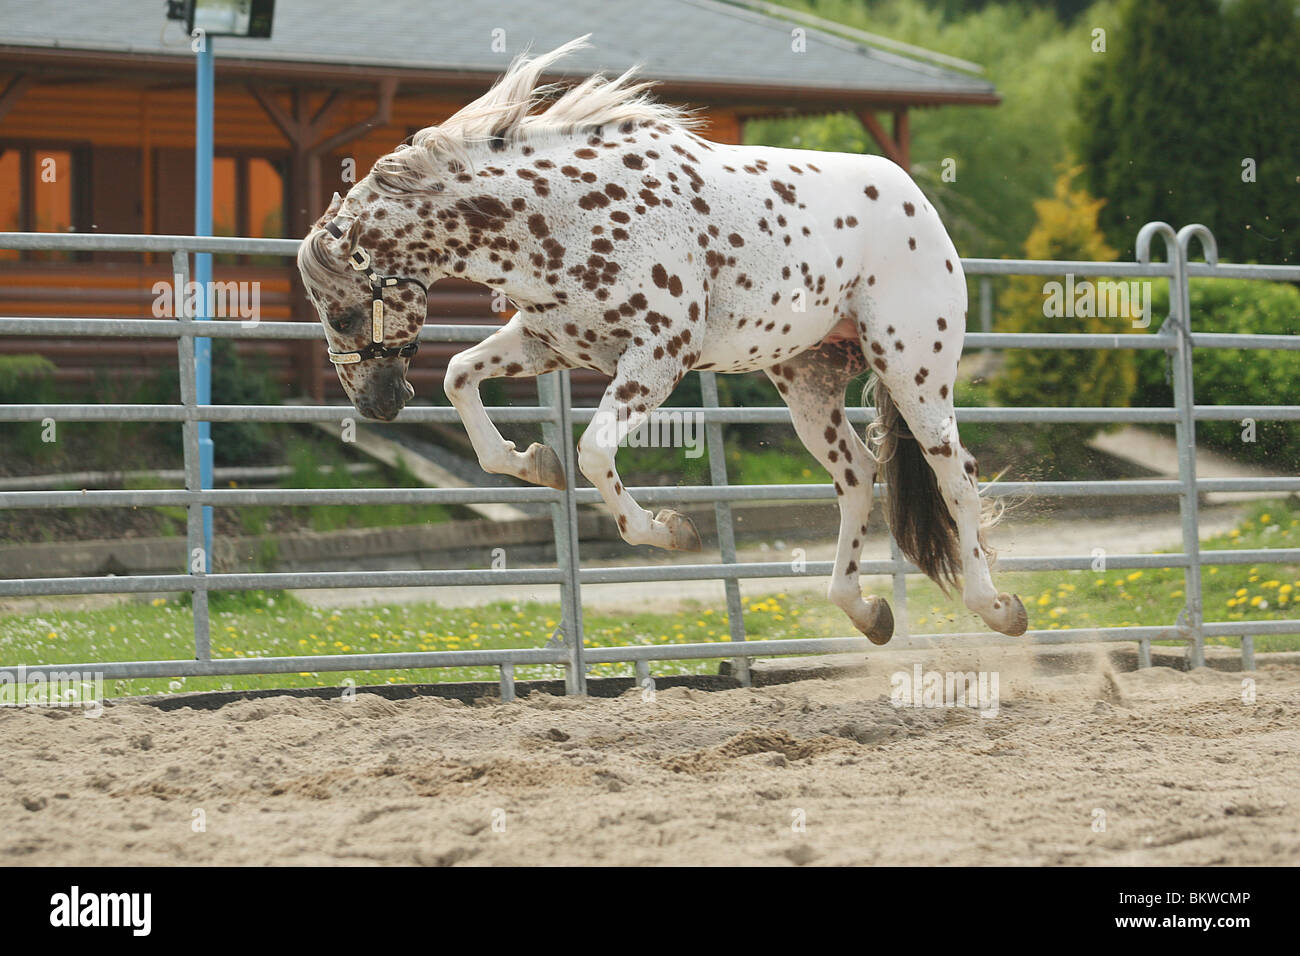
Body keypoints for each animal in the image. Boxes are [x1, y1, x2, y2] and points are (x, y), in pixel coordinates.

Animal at [296, 37, 1028, 645]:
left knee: (957, 478)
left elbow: (594, 453)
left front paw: (669, 530)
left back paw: (999, 608)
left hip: (914, 373)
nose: (376, 407)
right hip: (809, 382)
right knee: (857, 475)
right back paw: (867, 611)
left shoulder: (657, 359)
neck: (563, 214)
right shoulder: (548, 342)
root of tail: (920, 205)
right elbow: (460, 379)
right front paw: (535, 462)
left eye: (343, 316)